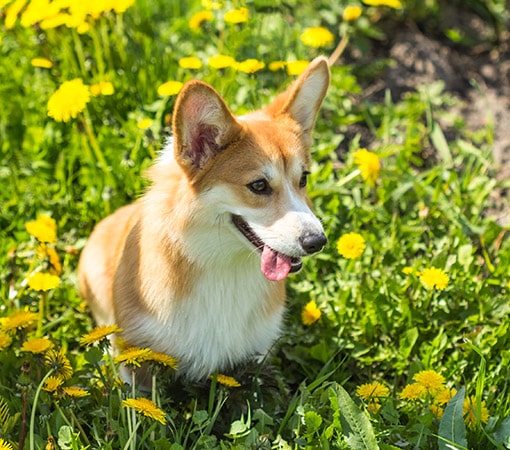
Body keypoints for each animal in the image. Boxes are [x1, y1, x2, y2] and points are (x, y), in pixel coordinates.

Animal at [77, 55, 328, 380]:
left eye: (304, 178)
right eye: (258, 185)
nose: (318, 241)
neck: (224, 267)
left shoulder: (258, 356)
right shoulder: (135, 355)